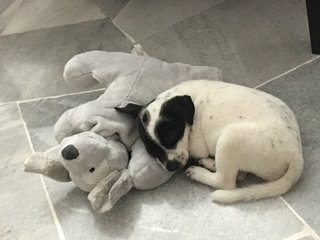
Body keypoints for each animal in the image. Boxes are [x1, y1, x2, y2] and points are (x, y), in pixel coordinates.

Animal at [116, 80, 304, 202]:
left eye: (171, 135)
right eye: (150, 149)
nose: (171, 167)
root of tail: (296, 155)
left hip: (229, 139)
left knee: (226, 182)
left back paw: (200, 172)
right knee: (239, 174)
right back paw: (209, 163)